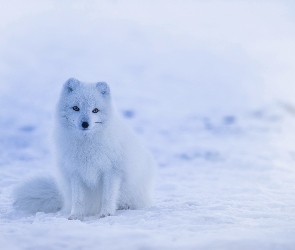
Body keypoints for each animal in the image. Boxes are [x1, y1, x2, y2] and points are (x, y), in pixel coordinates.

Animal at [13, 78, 157, 221]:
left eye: (95, 110)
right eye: (76, 108)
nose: (85, 124)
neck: (86, 145)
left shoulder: (111, 171)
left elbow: (108, 196)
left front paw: (106, 214)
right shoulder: (76, 172)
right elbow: (78, 199)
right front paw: (75, 215)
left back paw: (124, 206)